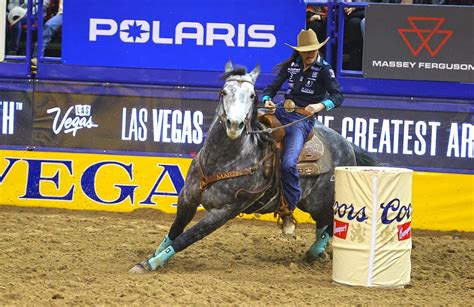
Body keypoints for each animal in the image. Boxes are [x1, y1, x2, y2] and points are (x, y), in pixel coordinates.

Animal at [129, 61, 378, 274]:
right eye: (224, 92)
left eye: (250, 95)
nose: (234, 124)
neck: (220, 161)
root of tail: (347, 144)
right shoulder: (187, 197)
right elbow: (174, 231)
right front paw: (151, 257)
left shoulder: (224, 211)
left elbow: (187, 237)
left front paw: (152, 263)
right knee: (324, 223)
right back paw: (318, 252)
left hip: (319, 201)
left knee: (331, 222)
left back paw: (315, 251)